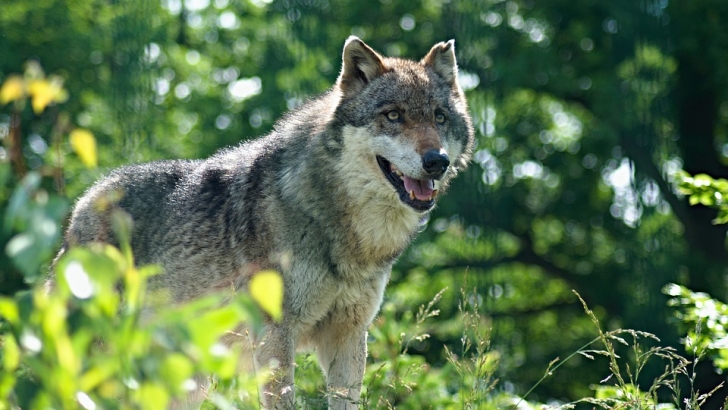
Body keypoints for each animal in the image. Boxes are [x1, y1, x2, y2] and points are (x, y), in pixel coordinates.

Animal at [52, 37, 474, 409]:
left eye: (439, 117)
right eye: (393, 115)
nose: (437, 161)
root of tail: (83, 203)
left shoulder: (348, 335)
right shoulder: (274, 334)